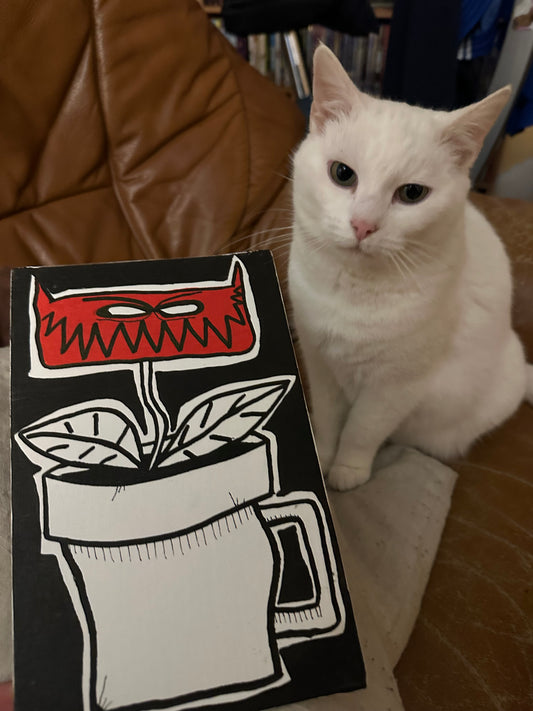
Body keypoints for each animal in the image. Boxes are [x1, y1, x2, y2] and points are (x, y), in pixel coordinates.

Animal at [288, 44, 533, 491]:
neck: (354, 292)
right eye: (342, 174)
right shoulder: (319, 363)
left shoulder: (395, 388)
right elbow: (329, 420)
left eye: (412, 194)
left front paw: (347, 472)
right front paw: (322, 457)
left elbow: (362, 430)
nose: (363, 225)